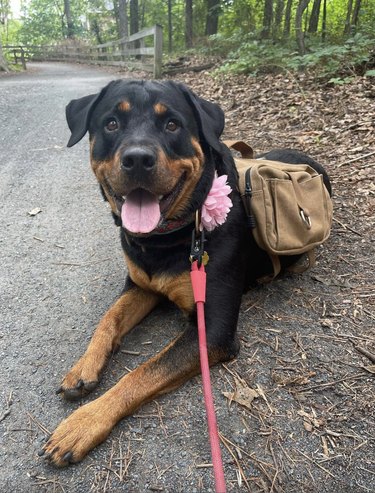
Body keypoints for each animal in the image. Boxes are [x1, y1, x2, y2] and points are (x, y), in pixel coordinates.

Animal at [39, 79, 330, 464]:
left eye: (172, 124)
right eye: (111, 124)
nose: (137, 158)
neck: (169, 236)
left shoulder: (212, 330)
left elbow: (143, 371)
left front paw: (83, 423)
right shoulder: (140, 285)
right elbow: (109, 319)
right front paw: (84, 367)